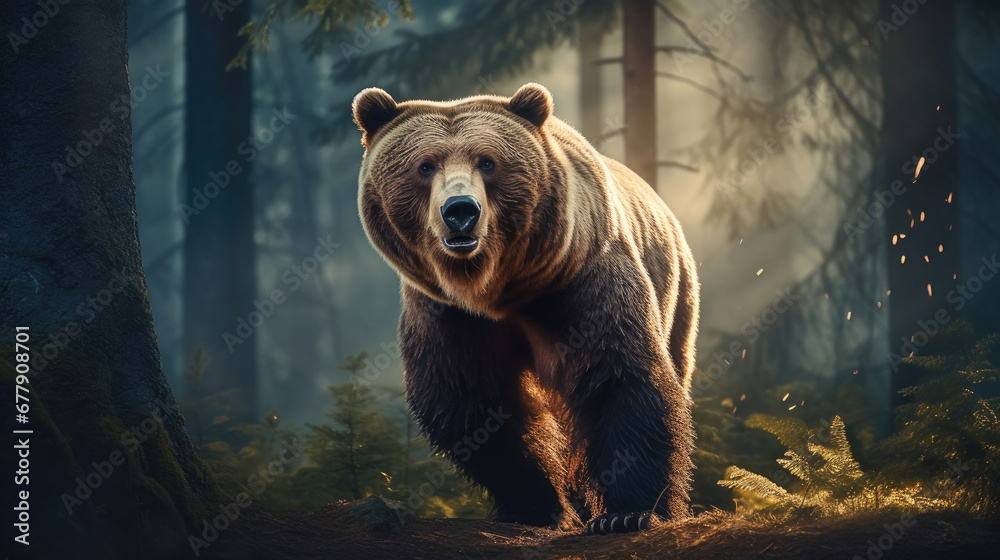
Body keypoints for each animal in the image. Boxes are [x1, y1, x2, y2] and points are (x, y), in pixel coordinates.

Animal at [352, 83, 699, 535]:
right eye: (424, 166)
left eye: (488, 162)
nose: (460, 210)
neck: (498, 289)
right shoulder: (449, 314)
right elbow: (471, 403)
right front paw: (537, 506)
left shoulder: (581, 281)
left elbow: (619, 376)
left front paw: (627, 513)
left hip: (676, 295)